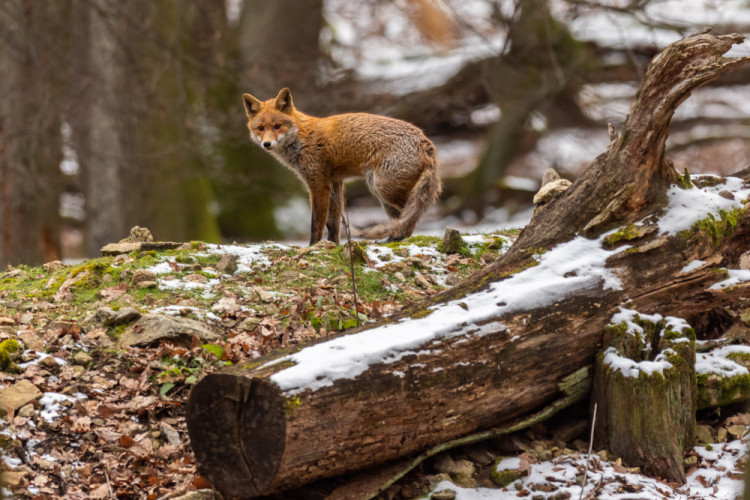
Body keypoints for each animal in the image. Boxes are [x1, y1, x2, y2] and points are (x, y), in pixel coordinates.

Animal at [242, 91, 440, 247]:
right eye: (260, 128)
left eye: (278, 126)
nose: (267, 144)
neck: (301, 139)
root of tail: (426, 142)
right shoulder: (335, 182)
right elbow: (333, 223)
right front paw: (333, 244)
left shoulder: (318, 184)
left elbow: (316, 223)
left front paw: (312, 246)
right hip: (385, 197)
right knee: (402, 221)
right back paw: (391, 240)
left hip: (382, 189)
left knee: (411, 218)